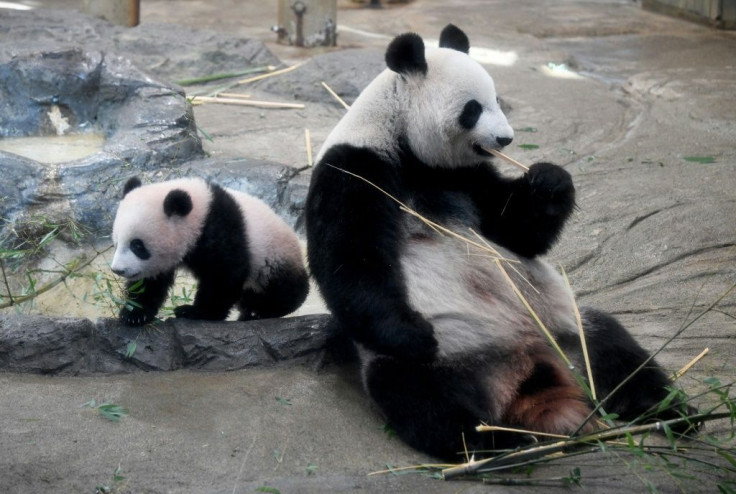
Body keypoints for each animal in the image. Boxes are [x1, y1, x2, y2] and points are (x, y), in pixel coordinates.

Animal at [110, 177, 310, 324]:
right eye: (117, 242)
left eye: (137, 246)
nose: (118, 270)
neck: (200, 211)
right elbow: (150, 282)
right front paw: (135, 314)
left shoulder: (220, 229)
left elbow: (224, 275)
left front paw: (194, 312)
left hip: (273, 256)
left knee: (283, 288)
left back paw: (260, 310)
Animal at [304, 26, 696, 460]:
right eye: (473, 108)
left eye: (497, 99)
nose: (506, 139)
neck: (404, 141)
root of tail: (528, 368)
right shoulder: (356, 167)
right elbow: (351, 259)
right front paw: (413, 334)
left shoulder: (466, 177)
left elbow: (516, 231)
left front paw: (549, 180)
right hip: (451, 356)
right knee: (421, 397)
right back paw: (496, 442)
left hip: (566, 331)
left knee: (616, 351)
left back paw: (674, 412)